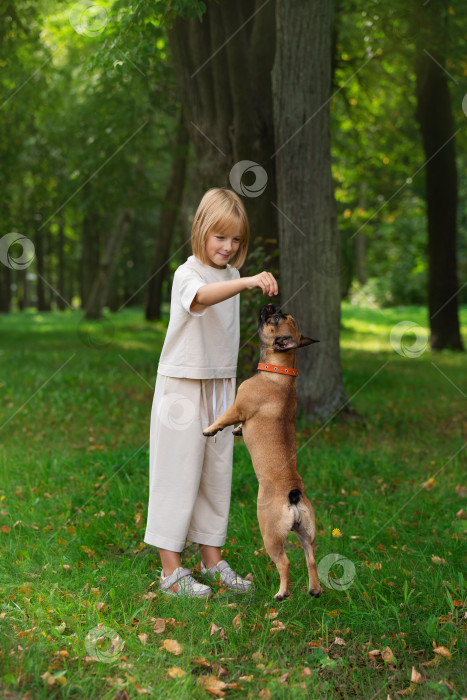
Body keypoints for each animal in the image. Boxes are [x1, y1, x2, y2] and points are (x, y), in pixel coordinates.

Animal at [203, 302, 324, 600]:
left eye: (276, 318)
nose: (271, 304)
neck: (279, 370)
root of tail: (294, 494)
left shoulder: (237, 406)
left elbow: (224, 418)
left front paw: (211, 429)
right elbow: (237, 425)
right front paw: (237, 432)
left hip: (269, 532)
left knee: (285, 562)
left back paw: (281, 593)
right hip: (307, 532)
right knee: (311, 558)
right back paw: (314, 589)